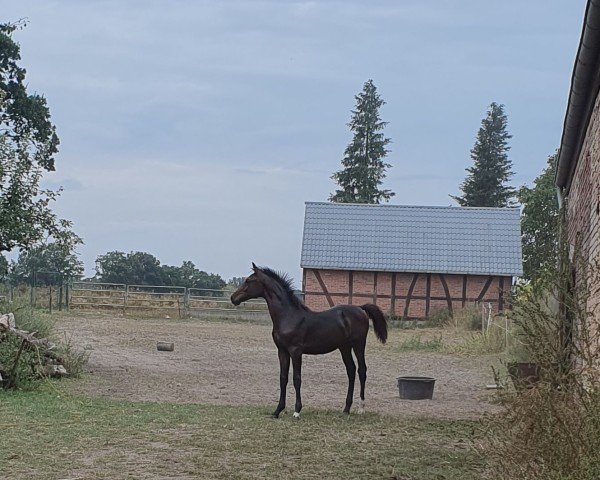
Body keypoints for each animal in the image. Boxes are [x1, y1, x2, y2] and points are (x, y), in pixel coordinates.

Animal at [230, 264, 390, 418]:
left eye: (249, 280)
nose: (233, 298)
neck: (288, 316)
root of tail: (360, 308)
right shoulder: (282, 351)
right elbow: (283, 378)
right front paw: (277, 411)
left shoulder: (296, 351)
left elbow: (297, 379)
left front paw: (297, 411)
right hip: (344, 347)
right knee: (351, 370)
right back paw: (345, 409)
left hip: (358, 344)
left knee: (362, 370)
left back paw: (361, 408)